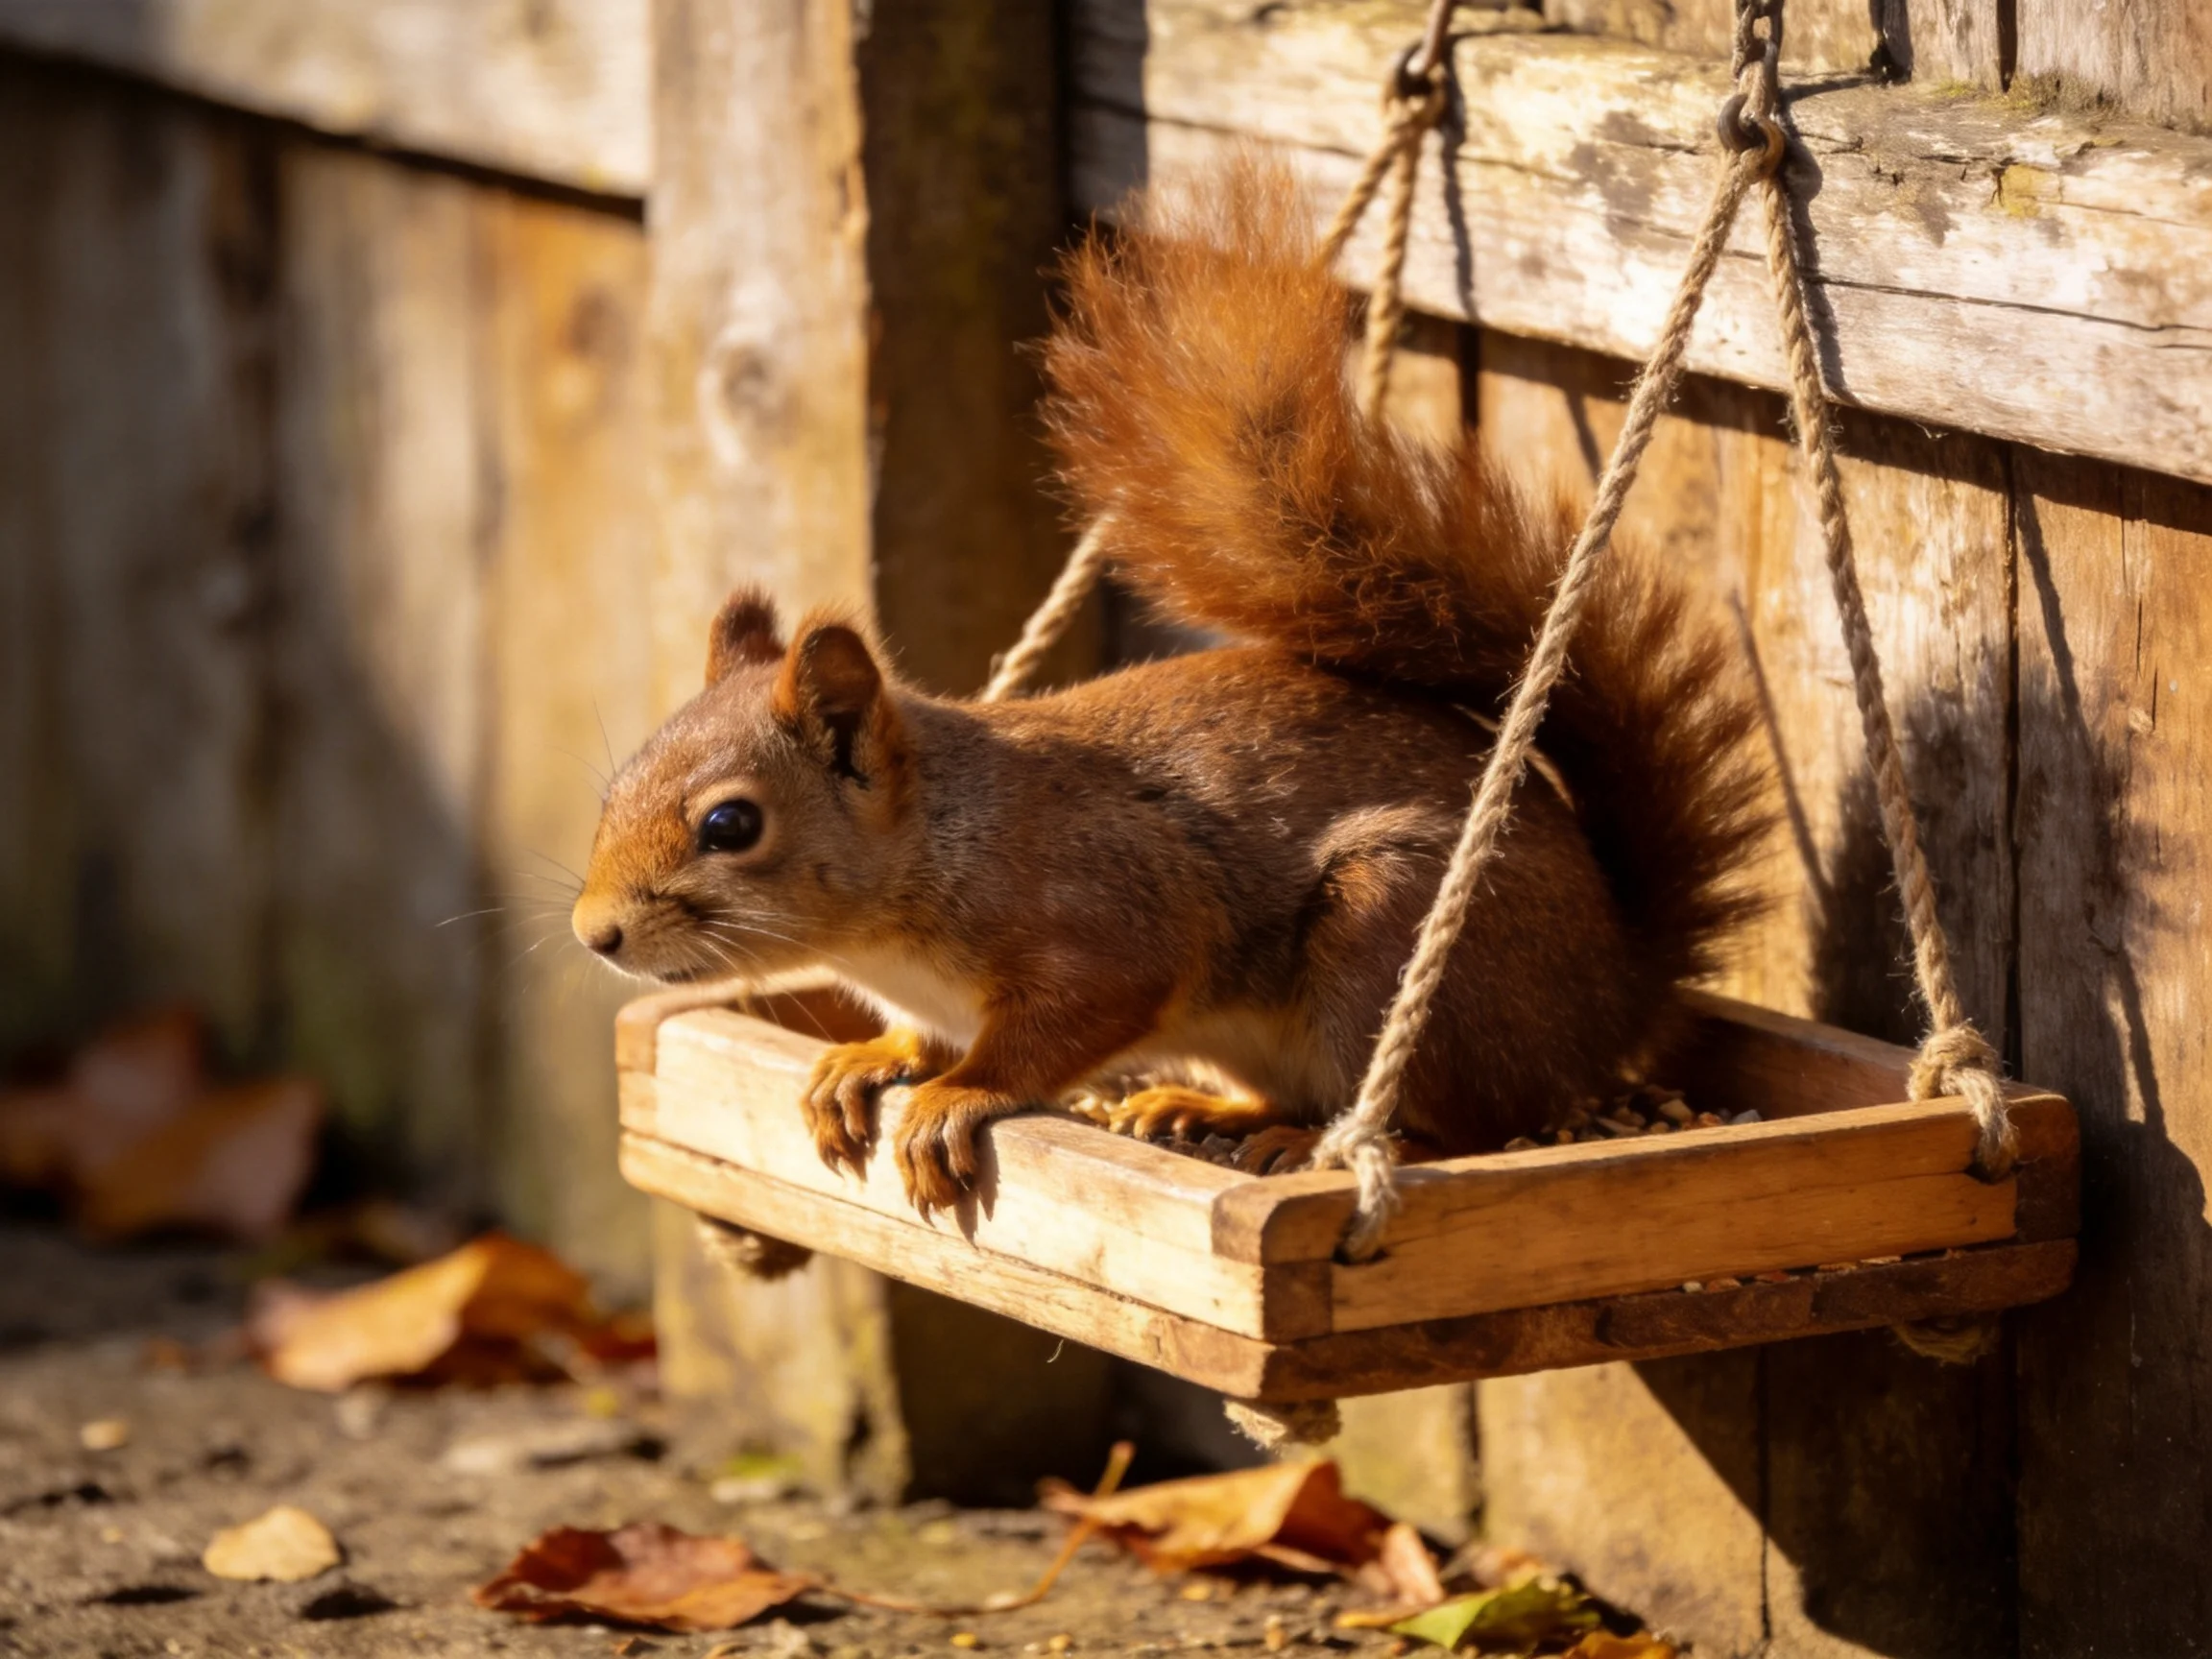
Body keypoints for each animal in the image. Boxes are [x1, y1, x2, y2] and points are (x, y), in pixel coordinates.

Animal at [573, 161, 1771, 1217]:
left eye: (731, 825)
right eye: (610, 793)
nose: (595, 935)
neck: (925, 866)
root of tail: (1616, 991)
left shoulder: (1105, 912)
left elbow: (1063, 1023)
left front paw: (956, 1094)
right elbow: (919, 1034)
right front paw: (869, 1056)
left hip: (1398, 941)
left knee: (1474, 1125)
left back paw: (1321, 1143)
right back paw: (1206, 1108)